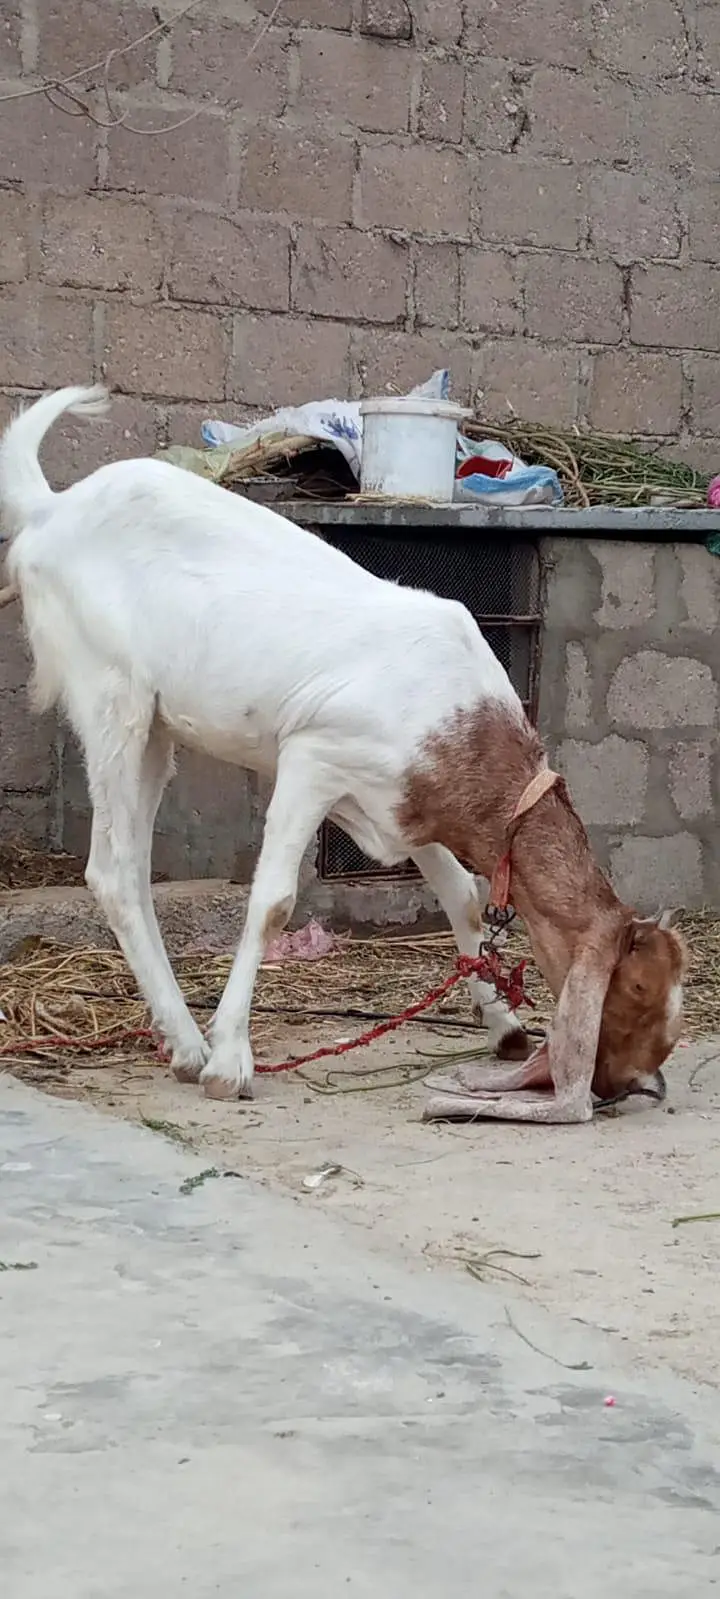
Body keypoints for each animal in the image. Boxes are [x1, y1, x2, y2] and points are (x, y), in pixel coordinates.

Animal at [0, 387, 687, 1121]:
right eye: (636, 989)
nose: (628, 1084)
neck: (459, 716)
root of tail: (51, 508)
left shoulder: (397, 804)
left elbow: (462, 894)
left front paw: (503, 1026)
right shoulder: (313, 758)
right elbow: (274, 900)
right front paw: (231, 1061)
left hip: (155, 726)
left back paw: (181, 1040)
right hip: (111, 695)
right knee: (114, 870)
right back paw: (190, 1045)